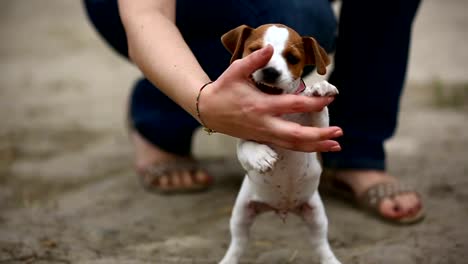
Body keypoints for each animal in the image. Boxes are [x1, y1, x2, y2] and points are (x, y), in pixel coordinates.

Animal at [218, 24, 342, 264]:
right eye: (256, 51)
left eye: (292, 58)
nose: (270, 71)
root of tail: (282, 208)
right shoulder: (244, 128)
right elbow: (246, 145)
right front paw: (261, 156)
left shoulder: (318, 135)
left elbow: (319, 112)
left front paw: (320, 88)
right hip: (241, 214)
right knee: (238, 243)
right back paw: (228, 259)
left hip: (316, 215)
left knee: (320, 243)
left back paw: (331, 259)